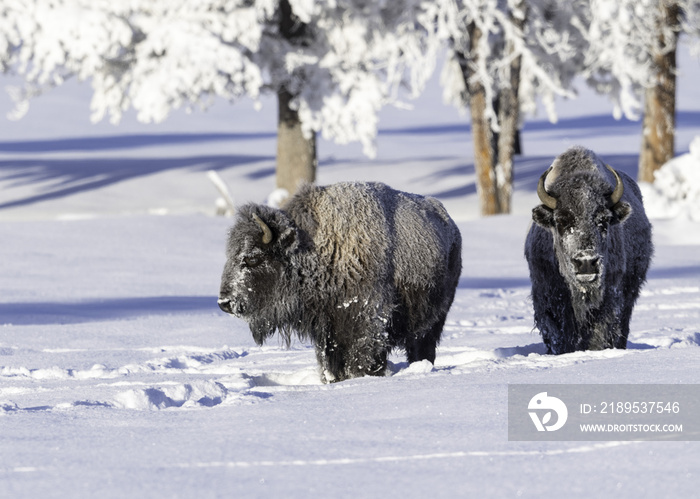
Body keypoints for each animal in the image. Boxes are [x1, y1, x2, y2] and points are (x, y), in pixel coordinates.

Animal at [216, 183, 462, 382]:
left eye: (252, 258)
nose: (224, 302)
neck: (316, 248)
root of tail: (451, 226)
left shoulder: (366, 320)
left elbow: (360, 359)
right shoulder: (326, 330)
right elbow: (331, 364)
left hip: (433, 320)